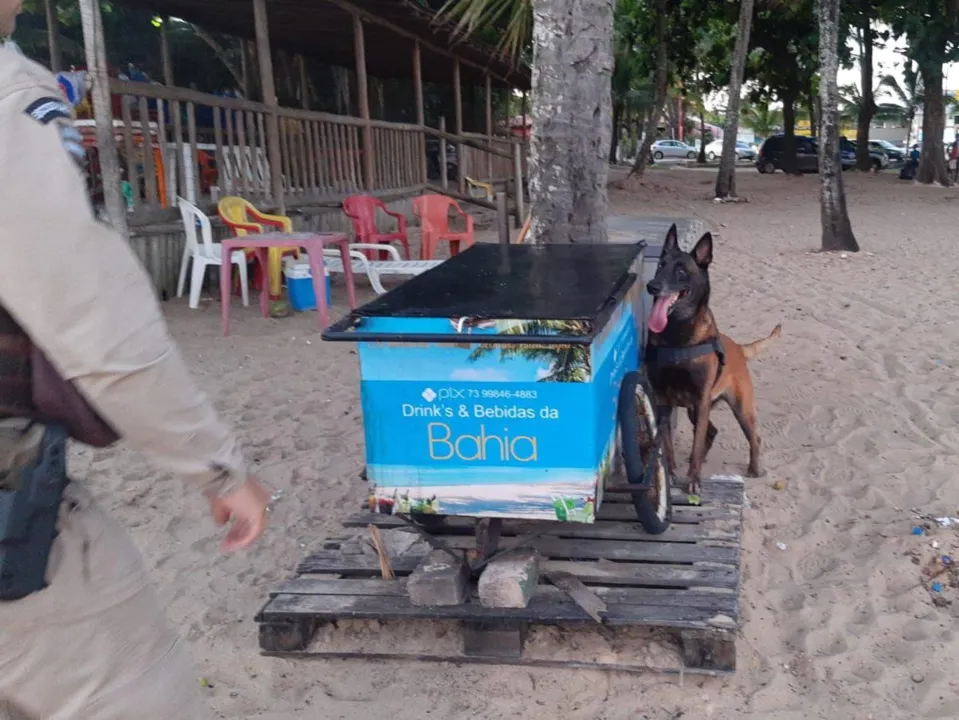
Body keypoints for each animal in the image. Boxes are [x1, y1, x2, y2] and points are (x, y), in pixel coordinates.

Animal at [644, 225, 780, 496]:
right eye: (660, 265)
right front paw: (672, 473)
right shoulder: (664, 400)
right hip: (695, 410)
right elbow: (667, 441)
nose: (652, 286)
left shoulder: (701, 398)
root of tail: (739, 348)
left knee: (753, 436)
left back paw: (754, 467)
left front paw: (694, 479)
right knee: (711, 431)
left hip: (739, 407)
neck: (677, 336)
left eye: (681, 270)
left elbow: (696, 443)